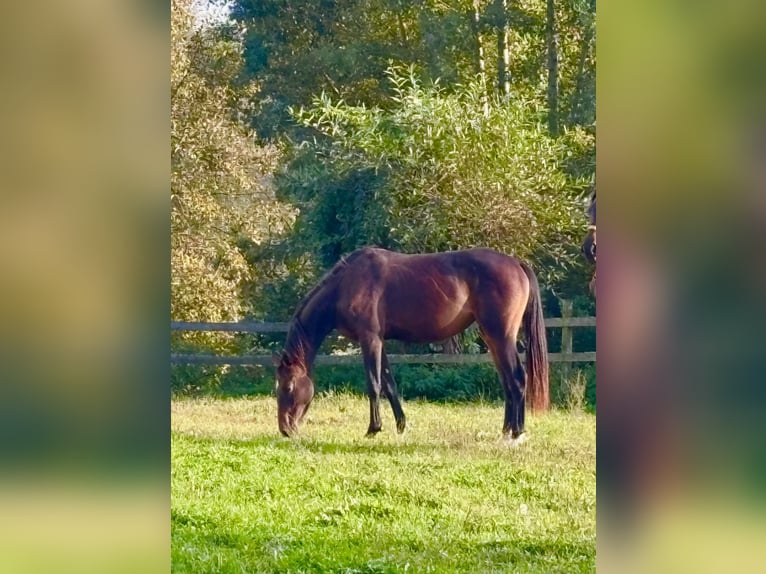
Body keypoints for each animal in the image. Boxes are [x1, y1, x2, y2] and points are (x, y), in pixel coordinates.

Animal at [272, 248, 548, 446]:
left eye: (288, 387)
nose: (285, 429)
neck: (346, 284)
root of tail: (516, 264)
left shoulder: (369, 339)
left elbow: (374, 384)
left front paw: (373, 429)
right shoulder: (379, 341)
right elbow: (389, 383)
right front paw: (401, 425)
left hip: (502, 337)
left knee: (517, 379)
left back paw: (517, 433)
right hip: (492, 339)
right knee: (507, 383)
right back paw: (505, 431)